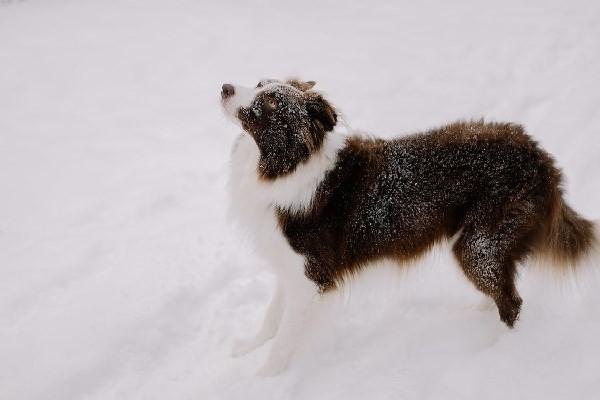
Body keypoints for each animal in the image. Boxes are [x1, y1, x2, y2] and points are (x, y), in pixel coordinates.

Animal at [220, 77, 596, 376]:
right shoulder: (291, 267)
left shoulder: (311, 274)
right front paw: (247, 346)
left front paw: (265, 380)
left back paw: (499, 348)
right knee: (504, 288)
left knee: (512, 301)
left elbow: (285, 338)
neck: (283, 166)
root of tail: (538, 156)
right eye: (259, 83)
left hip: (478, 245)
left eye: (271, 102)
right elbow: (273, 318)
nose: (225, 88)